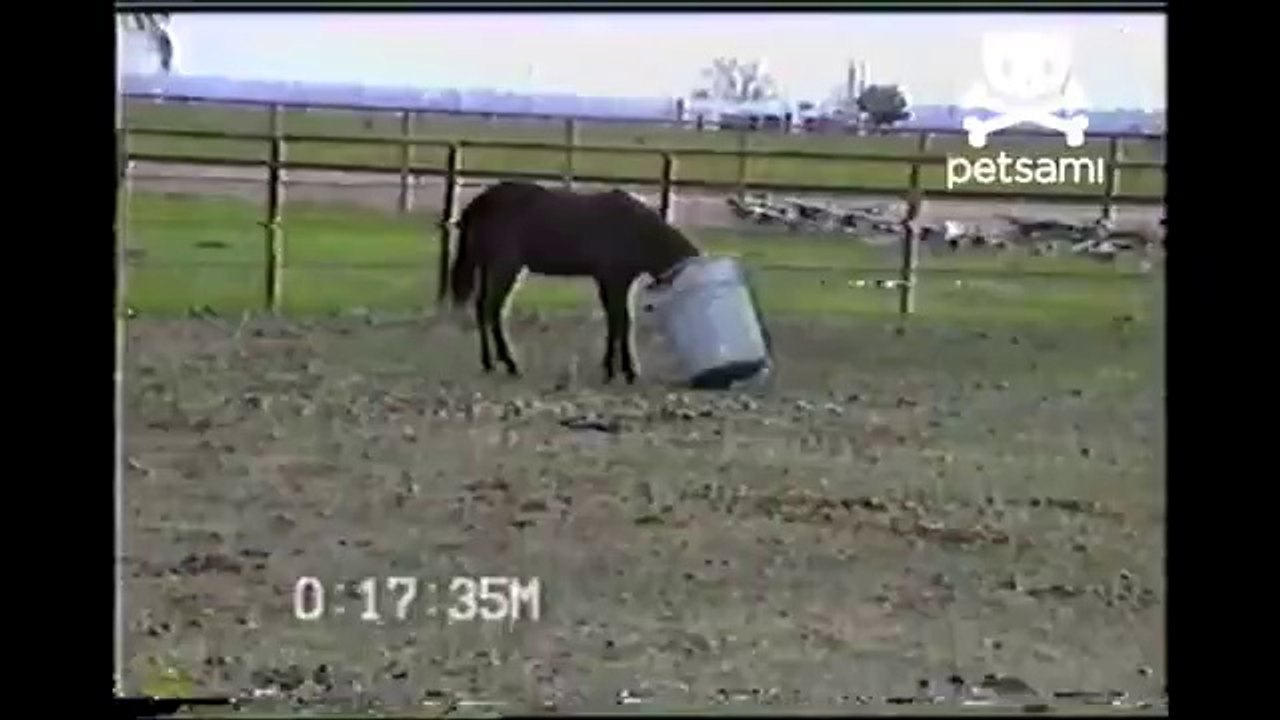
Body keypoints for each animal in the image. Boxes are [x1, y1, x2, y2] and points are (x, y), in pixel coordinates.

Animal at [445, 181, 701, 384]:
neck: (636, 228)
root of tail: (479, 203)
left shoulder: (615, 282)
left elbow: (619, 321)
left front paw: (617, 367)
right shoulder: (615, 280)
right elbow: (621, 321)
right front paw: (623, 370)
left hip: (490, 267)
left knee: (482, 309)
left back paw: (489, 362)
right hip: (504, 268)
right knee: (493, 310)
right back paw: (510, 363)